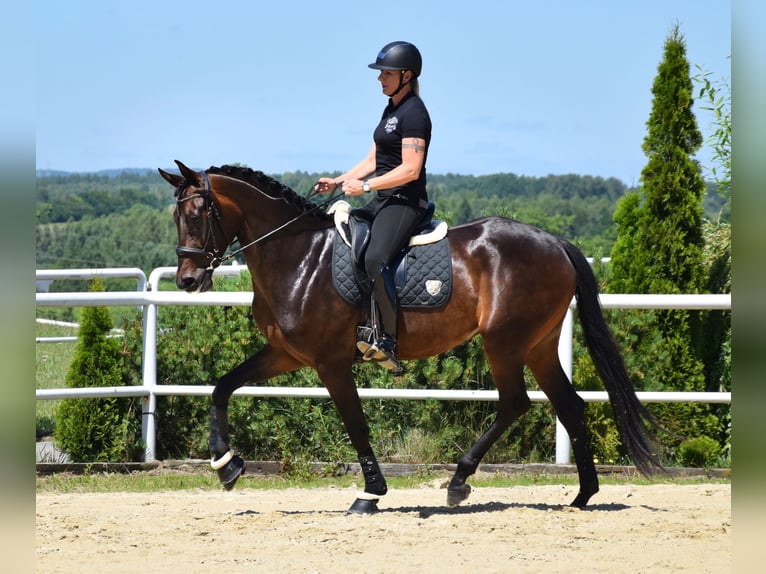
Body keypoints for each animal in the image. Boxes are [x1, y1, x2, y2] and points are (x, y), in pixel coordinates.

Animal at [159, 160, 664, 516]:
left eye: (200, 213)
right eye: (176, 216)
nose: (187, 280)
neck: (298, 257)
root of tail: (555, 242)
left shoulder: (330, 362)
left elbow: (355, 424)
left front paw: (370, 494)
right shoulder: (285, 354)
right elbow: (222, 386)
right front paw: (226, 465)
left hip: (504, 341)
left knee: (515, 402)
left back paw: (459, 482)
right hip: (538, 345)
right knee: (568, 405)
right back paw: (582, 495)